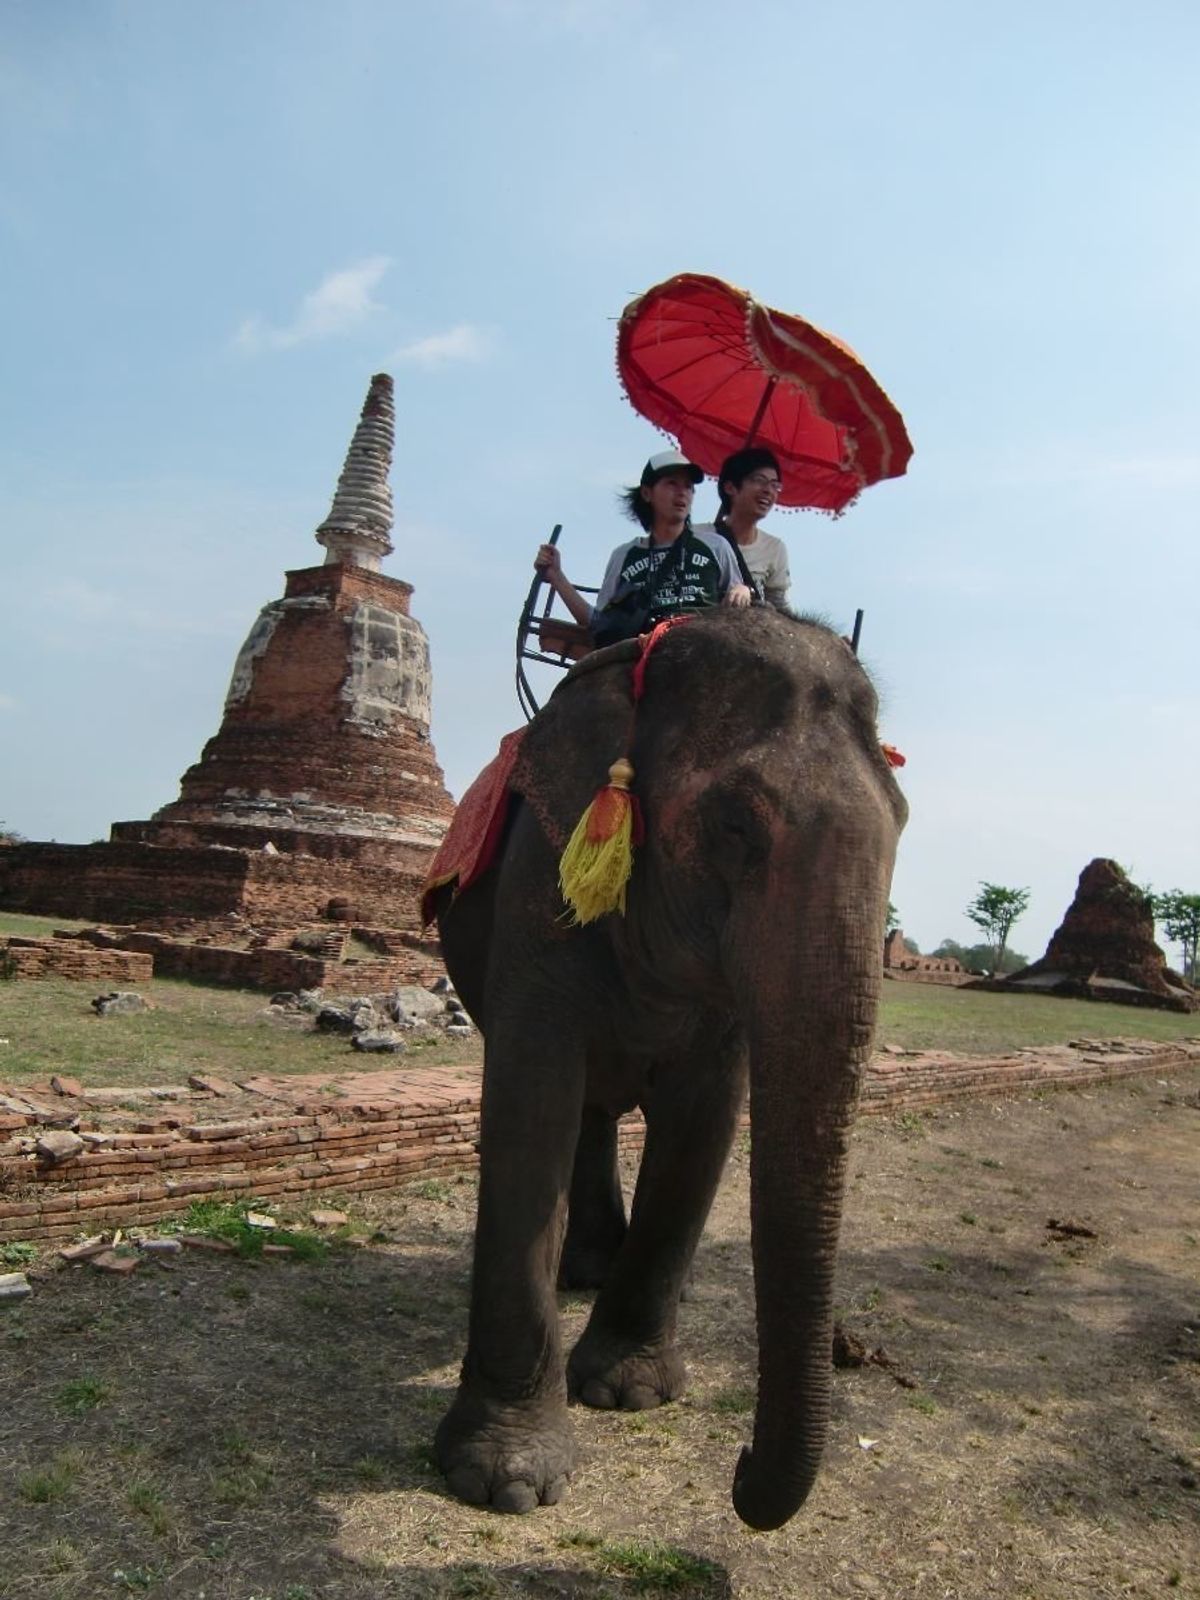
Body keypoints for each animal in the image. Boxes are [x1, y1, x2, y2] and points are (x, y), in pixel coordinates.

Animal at [428, 606, 907, 1531]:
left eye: (901, 825)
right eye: (734, 829)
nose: (741, 1465)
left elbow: (705, 1123)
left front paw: (629, 1393)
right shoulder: (538, 890)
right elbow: (529, 1110)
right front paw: (505, 1481)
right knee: (581, 1113)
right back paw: (582, 1270)